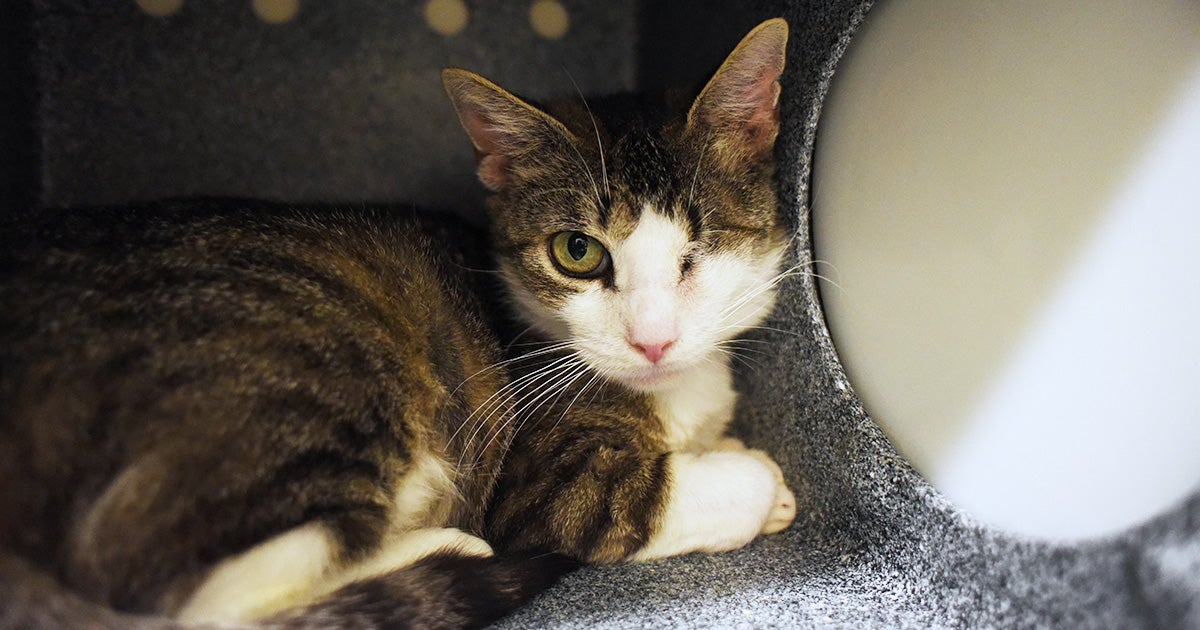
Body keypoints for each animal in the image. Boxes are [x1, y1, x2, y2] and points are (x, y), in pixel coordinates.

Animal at [0, 17, 794, 630]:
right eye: (578, 252)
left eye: (703, 244)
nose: (652, 340)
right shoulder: (545, 475)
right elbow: (632, 497)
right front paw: (762, 481)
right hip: (314, 385)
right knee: (204, 606)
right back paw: (446, 550)